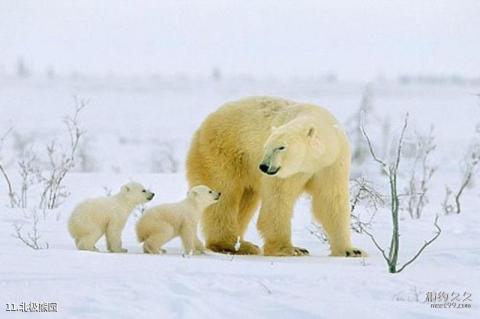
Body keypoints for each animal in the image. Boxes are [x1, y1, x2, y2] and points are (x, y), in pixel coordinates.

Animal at [186, 97, 366, 258]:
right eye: (266, 146)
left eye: (281, 147)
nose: (264, 166)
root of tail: (204, 124)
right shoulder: (286, 172)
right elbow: (278, 199)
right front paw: (290, 249)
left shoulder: (331, 163)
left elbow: (330, 200)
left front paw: (351, 251)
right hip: (221, 153)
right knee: (224, 194)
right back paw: (226, 245)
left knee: (246, 201)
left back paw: (245, 245)